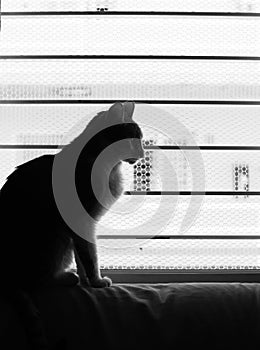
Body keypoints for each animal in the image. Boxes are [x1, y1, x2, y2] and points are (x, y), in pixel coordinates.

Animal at [0, 101, 144, 290]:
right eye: (133, 140)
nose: (143, 154)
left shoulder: (83, 227)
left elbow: (82, 259)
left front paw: (86, 283)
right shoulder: (82, 222)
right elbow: (90, 257)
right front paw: (96, 281)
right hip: (53, 240)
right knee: (36, 281)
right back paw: (67, 278)